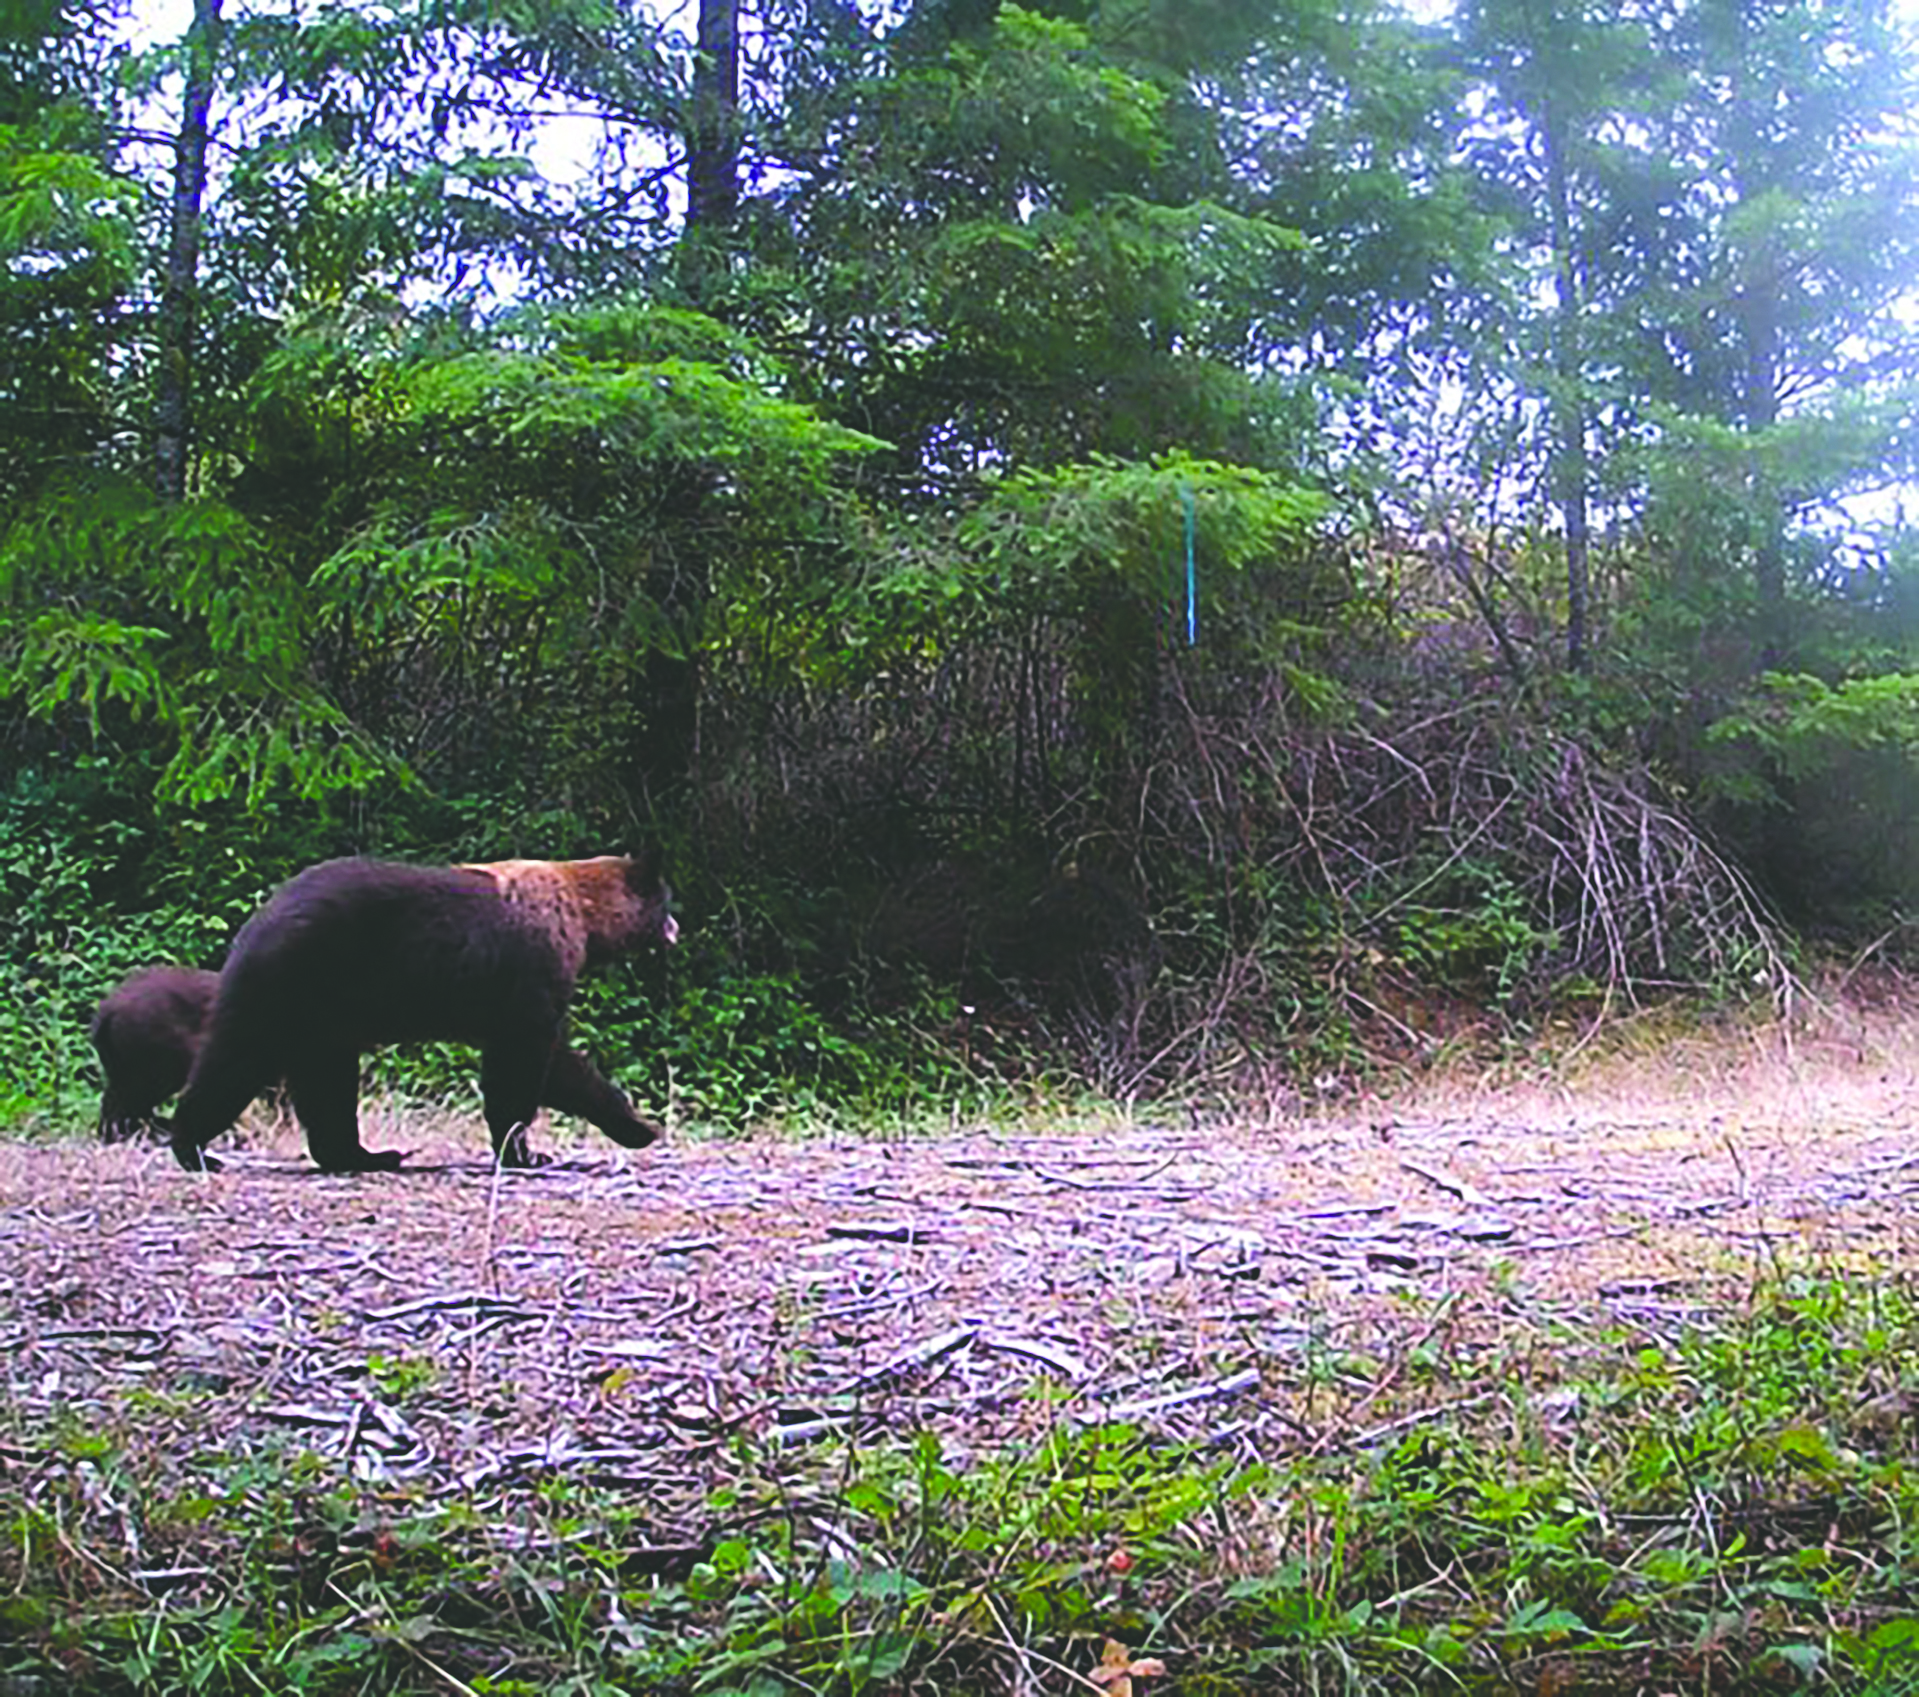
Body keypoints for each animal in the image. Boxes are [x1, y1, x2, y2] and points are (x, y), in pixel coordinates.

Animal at [165, 856, 679, 1174]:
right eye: (666, 901)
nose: (676, 925)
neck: (583, 916)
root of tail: (257, 919)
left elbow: (556, 1067)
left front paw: (637, 1127)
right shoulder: (531, 973)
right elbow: (524, 1062)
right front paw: (523, 1152)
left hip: (323, 1018)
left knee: (327, 1082)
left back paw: (366, 1155)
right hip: (289, 981)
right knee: (237, 1057)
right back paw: (193, 1148)